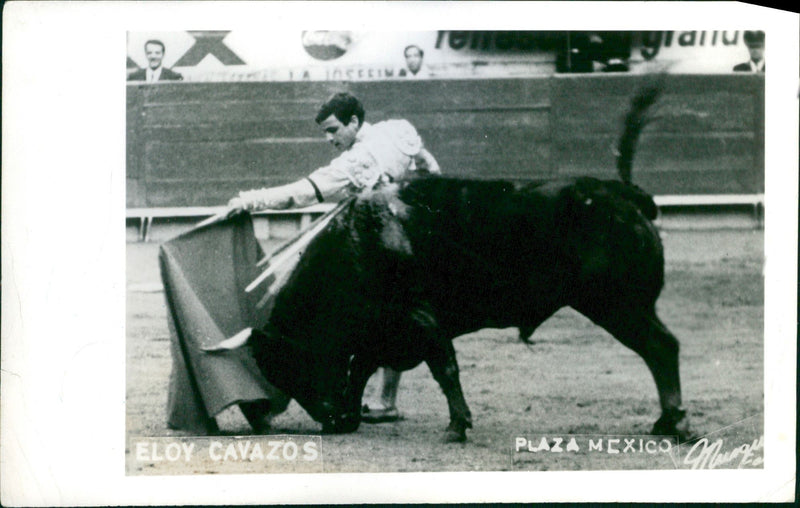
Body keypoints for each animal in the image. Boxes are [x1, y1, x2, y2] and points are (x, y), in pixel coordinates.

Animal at [247, 85, 692, 442]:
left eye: (291, 365)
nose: (330, 421)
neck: (359, 245)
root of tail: (621, 193)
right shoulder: (383, 328)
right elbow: (362, 369)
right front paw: (357, 415)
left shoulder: (421, 319)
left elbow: (444, 369)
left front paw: (457, 426)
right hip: (627, 305)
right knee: (661, 348)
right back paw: (666, 423)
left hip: (616, 304)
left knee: (661, 346)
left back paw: (675, 424)